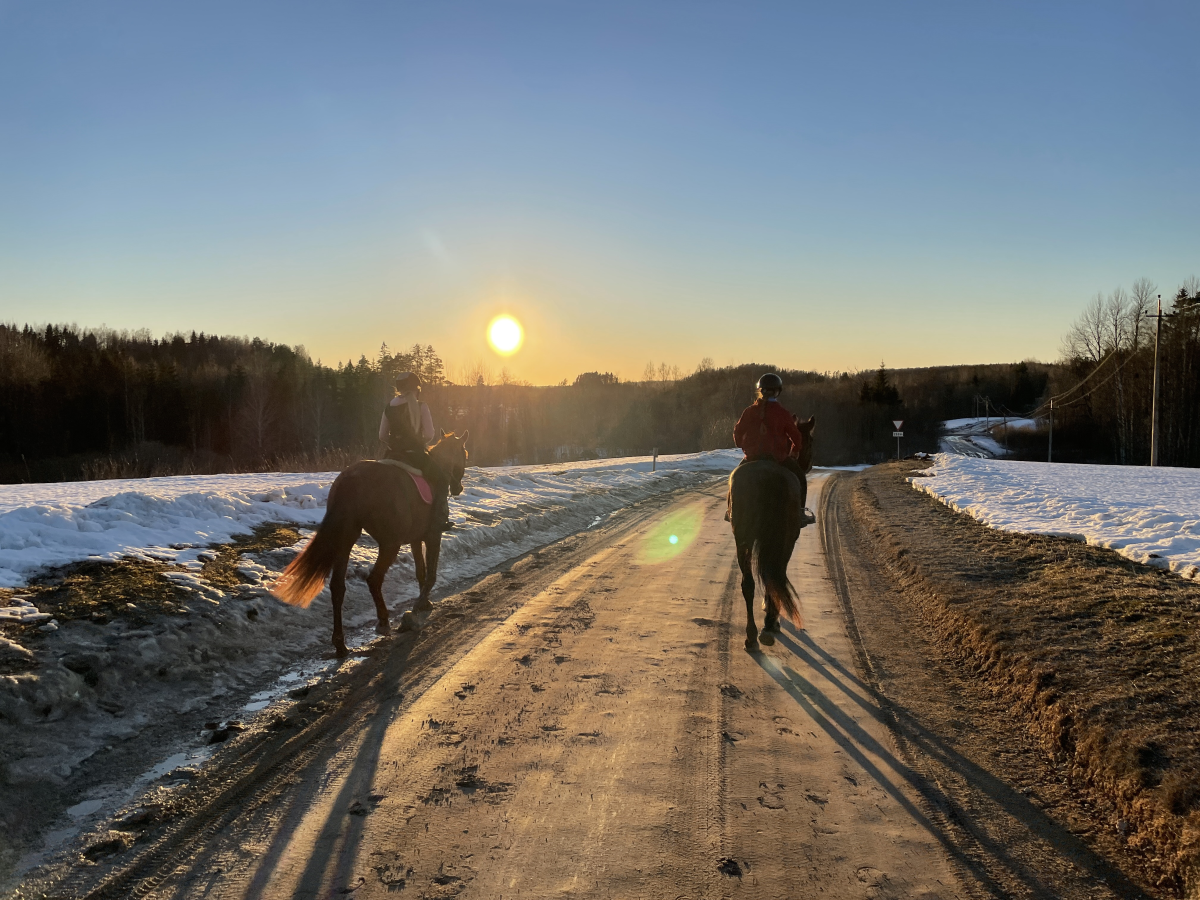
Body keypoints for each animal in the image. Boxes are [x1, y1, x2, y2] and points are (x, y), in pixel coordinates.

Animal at [274, 429, 470, 657]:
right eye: (465, 454)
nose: (458, 488)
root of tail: (353, 479)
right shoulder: (433, 535)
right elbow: (430, 575)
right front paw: (415, 610)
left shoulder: (415, 539)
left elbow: (420, 572)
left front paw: (425, 604)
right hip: (389, 543)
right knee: (374, 579)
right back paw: (383, 621)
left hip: (347, 538)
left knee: (338, 587)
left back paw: (340, 644)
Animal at [724, 415, 811, 657]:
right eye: (809, 440)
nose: (809, 465)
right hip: (783, 539)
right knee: (775, 574)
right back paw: (769, 625)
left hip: (742, 538)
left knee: (748, 583)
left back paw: (752, 637)